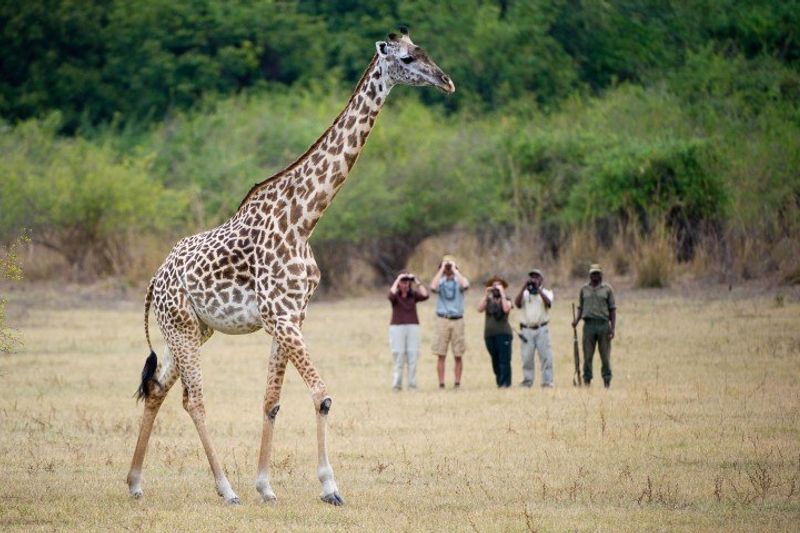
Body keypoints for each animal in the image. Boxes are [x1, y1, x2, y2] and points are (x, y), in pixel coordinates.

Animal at [126, 28, 454, 506]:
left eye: (424, 51)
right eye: (408, 58)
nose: (446, 82)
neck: (304, 218)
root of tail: (155, 278)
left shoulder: (293, 315)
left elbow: (272, 401)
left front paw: (266, 485)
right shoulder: (279, 316)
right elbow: (321, 396)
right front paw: (330, 487)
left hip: (191, 330)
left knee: (156, 389)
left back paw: (134, 482)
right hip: (183, 328)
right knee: (193, 400)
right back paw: (226, 489)